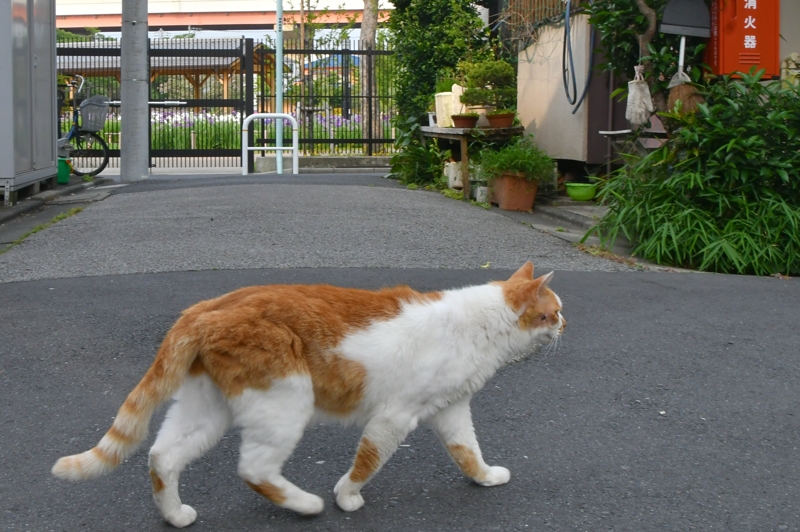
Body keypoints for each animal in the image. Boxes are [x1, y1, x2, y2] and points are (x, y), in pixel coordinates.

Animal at [52, 262, 565, 528]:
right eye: (554, 312)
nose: (566, 325)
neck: (480, 325)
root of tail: (205, 308)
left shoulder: (452, 410)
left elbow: (467, 452)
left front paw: (485, 477)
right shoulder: (393, 418)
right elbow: (368, 461)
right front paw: (347, 497)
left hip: (209, 411)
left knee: (162, 456)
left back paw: (176, 514)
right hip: (285, 403)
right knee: (254, 468)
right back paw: (305, 504)